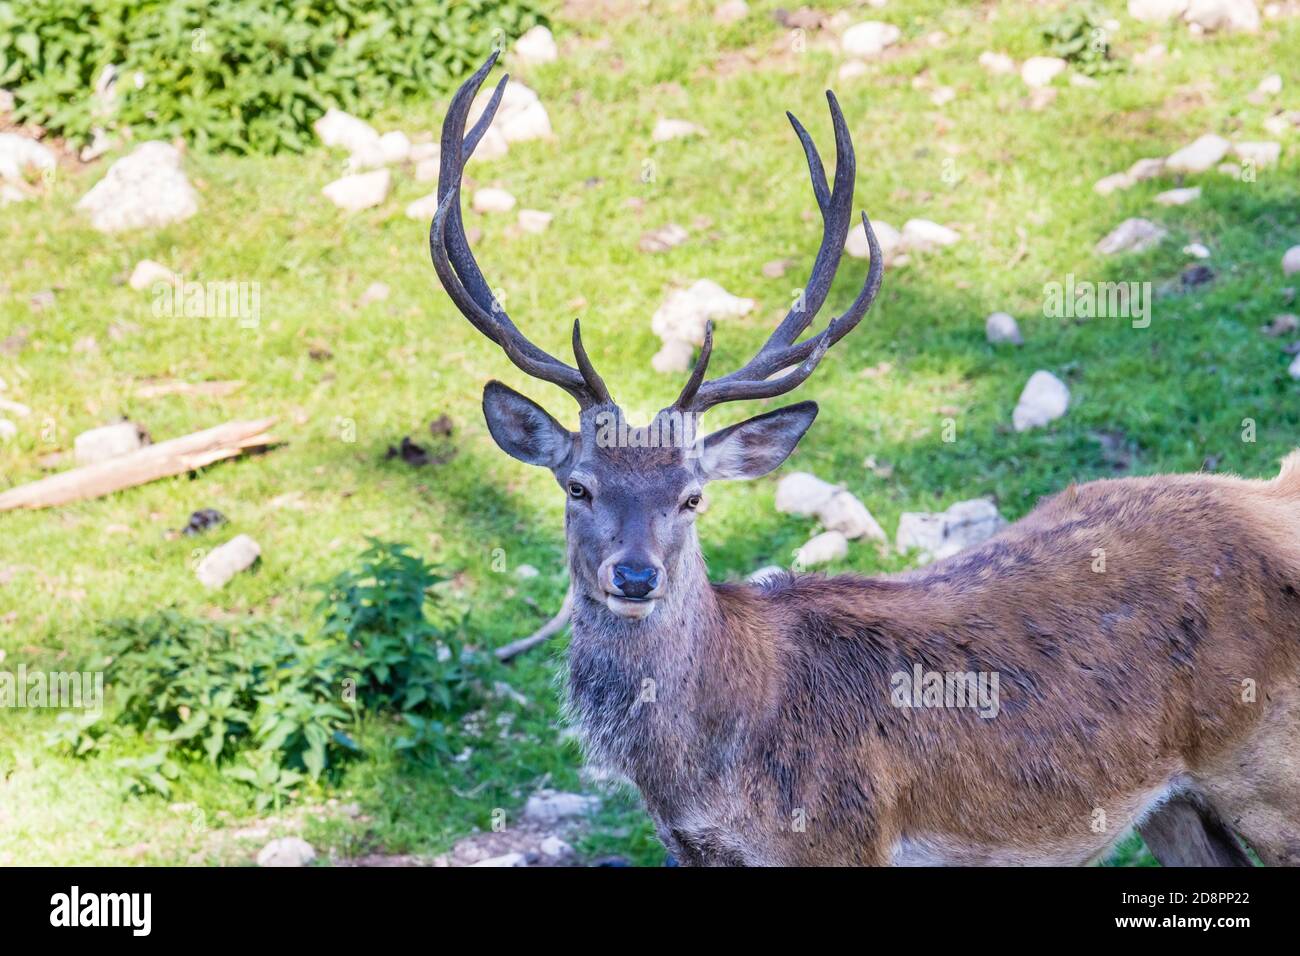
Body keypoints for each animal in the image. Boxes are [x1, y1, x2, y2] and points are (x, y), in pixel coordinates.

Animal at [430, 54, 1299, 866]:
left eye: (692, 497)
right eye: (578, 487)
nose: (637, 576)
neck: (706, 779)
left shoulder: (843, 839)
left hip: (1269, 775)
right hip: (1173, 804)